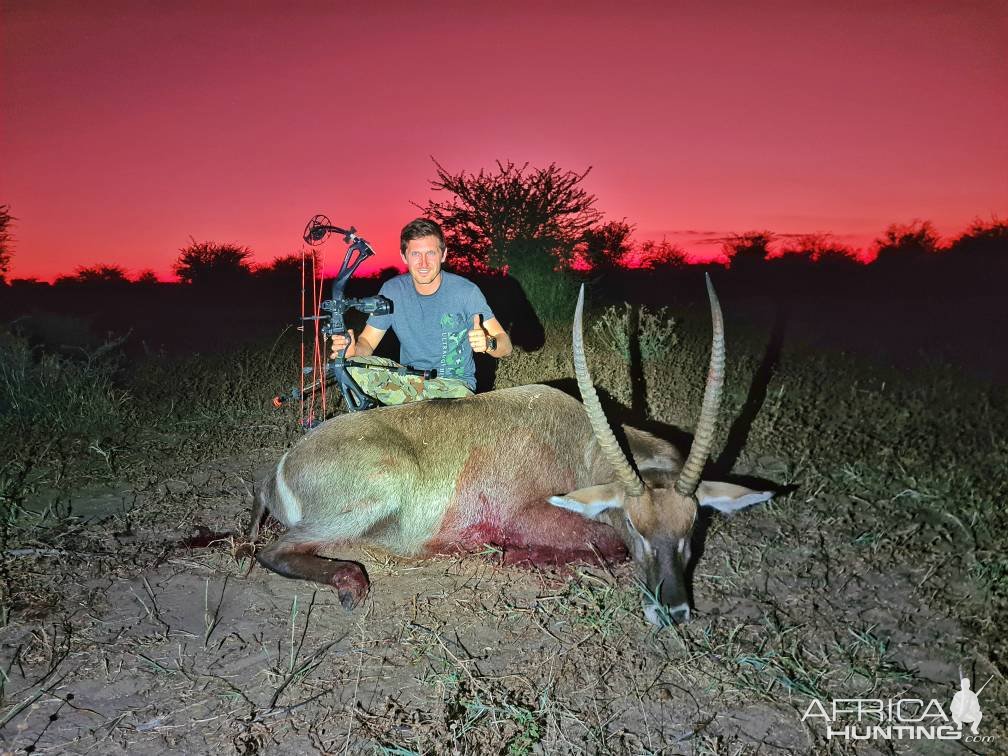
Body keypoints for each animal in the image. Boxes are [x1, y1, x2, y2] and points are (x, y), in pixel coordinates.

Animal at [245, 278, 770, 628]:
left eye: (693, 526)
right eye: (633, 524)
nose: (673, 611)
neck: (576, 441)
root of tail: (277, 472)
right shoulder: (527, 515)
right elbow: (604, 544)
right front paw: (515, 556)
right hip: (375, 494)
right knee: (274, 551)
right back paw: (351, 583)